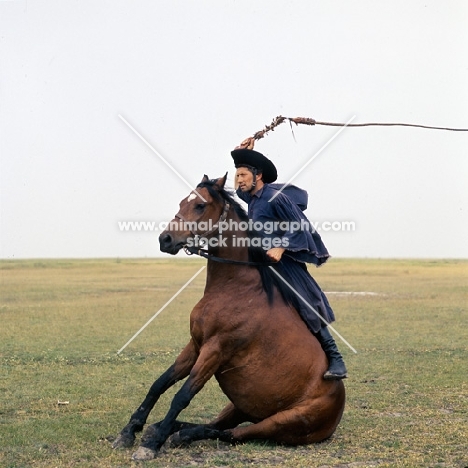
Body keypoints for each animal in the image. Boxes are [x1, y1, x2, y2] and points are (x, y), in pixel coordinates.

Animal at [112, 174, 348, 458]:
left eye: (200, 206)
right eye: (182, 202)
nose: (165, 239)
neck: (235, 288)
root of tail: (337, 409)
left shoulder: (216, 350)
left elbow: (183, 395)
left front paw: (150, 444)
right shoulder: (196, 345)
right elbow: (160, 383)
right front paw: (130, 431)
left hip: (280, 422)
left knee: (232, 434)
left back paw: (175, 434)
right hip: (239, 406)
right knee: (217, 425)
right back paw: (166, 429)